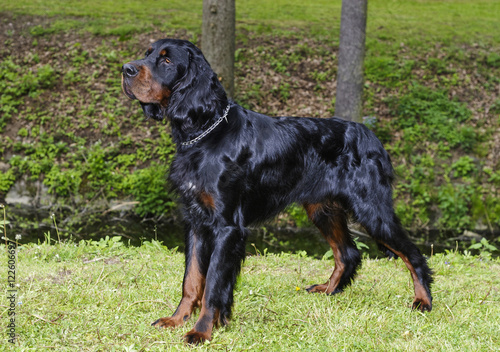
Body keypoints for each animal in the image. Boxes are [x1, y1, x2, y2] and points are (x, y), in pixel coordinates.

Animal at [120, 38, 430, 344]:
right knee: (348, 253)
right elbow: (192, 279)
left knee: (413, 254)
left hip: (371, 210)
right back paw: (328, 290)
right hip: (322, 209)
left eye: (167, 60)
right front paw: (177, 319)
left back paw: (423, 301)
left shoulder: (226, 226)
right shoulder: (196, 220)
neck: (205, 133)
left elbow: (213, 285)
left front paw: (202, 330)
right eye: (147, 53)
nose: (126, 69)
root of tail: (372, 137)